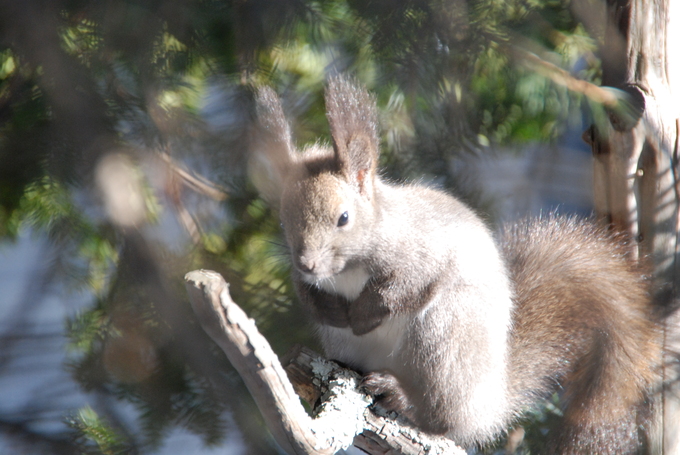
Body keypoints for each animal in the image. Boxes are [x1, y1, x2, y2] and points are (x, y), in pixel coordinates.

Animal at [248, 76, 660, 454]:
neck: (348, 269)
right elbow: (308, 296)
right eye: (284, 220)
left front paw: (363, 314)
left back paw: (401, 396)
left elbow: (402, 289)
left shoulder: (424, 252)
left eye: (343, 218)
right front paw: (330, 310)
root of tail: (488, 404)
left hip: (443, 337)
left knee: (441, 417)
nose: (308, 263)